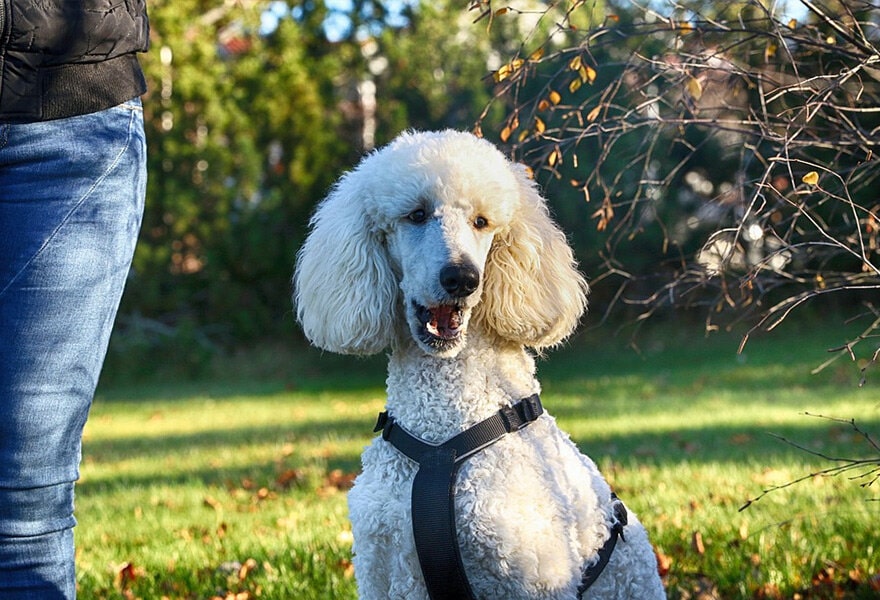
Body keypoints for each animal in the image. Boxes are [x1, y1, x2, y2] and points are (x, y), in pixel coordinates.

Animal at [292, 129, 664, 596]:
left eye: (482, 222)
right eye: (416, 215)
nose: (463, 278)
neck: (442, 438)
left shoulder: (531, 577)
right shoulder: (384, 570)